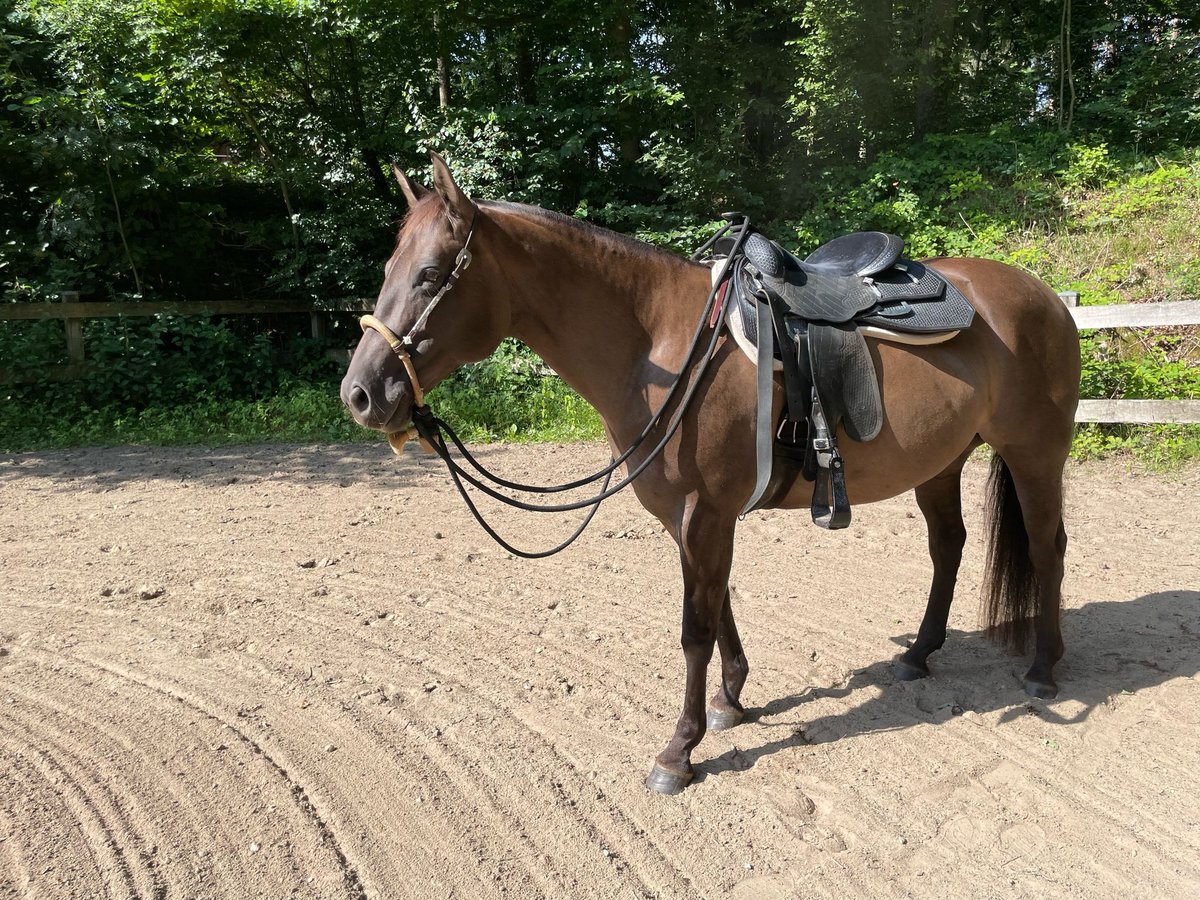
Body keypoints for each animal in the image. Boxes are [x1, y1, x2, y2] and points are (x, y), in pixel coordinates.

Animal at [343, 153, 1084, 796]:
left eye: (431, 274)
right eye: (391, 267)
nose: (360, 394)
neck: (660, 342)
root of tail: (1047, 294)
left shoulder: (705, 511)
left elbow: (694, 628)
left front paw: (679, 749)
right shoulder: (692, 517)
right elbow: (719, 601)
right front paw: (731, 701)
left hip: (1035, 454)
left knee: (1048, 550)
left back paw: (1044, 669)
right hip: (942, 462)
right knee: (948, 548)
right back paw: (918, 654)